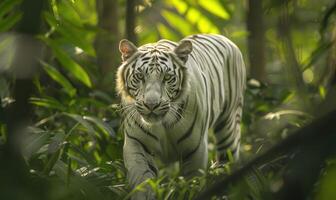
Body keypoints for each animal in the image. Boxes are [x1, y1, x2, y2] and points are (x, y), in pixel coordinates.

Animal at [117, 33, 245, 199]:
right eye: (140, 76)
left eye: (167, 77)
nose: (151, 105)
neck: (162, 123)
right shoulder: (136, 143)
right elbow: (142, 180)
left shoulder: (195, 149)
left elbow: (191, 184)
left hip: (229, 127)